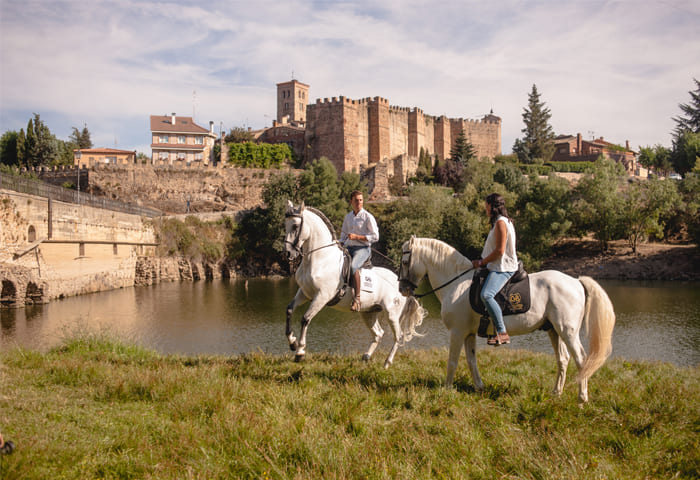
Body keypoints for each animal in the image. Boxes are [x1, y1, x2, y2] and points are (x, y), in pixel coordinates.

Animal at [282, 200, 424, 368]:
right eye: (285, 225)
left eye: (295, 225)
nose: (288, 253)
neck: (320, 259)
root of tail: (402, 283)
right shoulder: (304, 293)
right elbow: (289, 310)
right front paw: (292, 342)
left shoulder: (321, 296)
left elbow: (305, 318)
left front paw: (300, 352)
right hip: (368, 312)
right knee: (379, 333)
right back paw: (366, 356)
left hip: (392, 314)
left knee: (399, 336)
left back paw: (387, 362)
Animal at [396, 236, 616, 402]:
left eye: (405, 262)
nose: (402, 289)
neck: (456, 283)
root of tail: (576, 282)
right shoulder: (468, 333)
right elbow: (471, 360)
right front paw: (479, 386)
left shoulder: (457, 332)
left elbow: (452, 361)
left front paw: (447, 389)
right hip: (554, 330)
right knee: (563, 359)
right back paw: (556, 393)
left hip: (567, 331)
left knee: (581, 359)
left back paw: (582, 398)